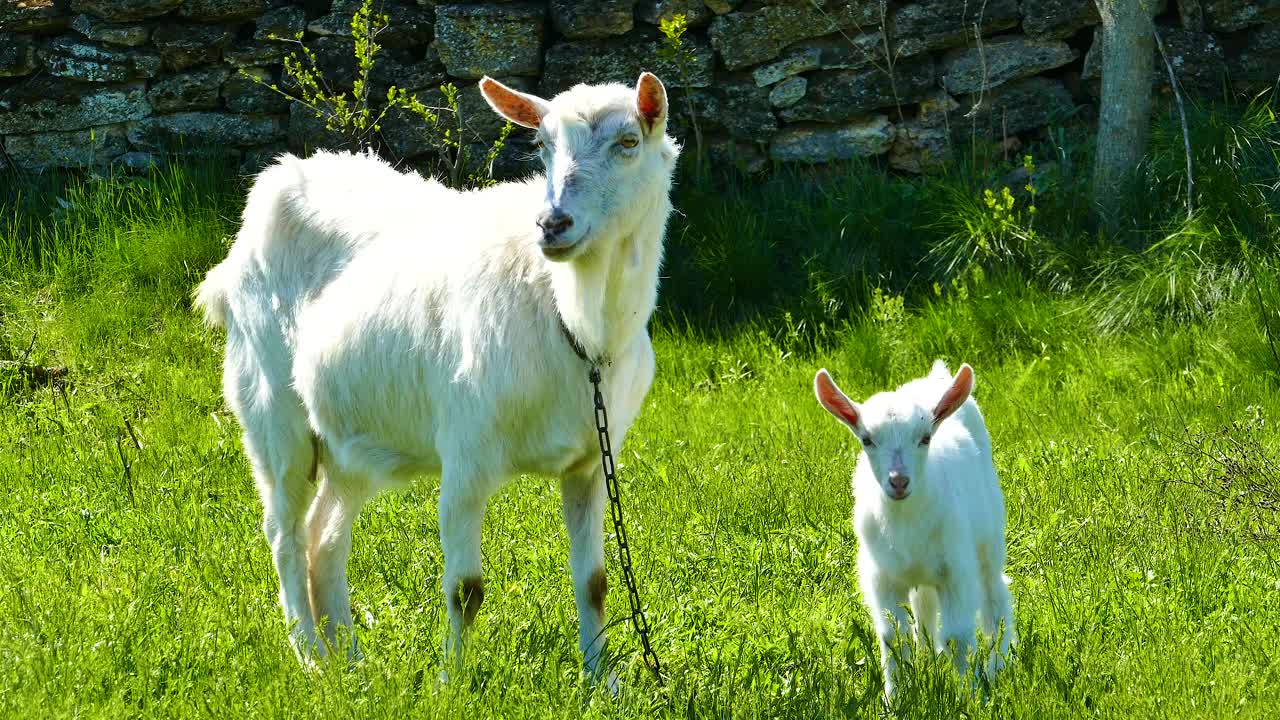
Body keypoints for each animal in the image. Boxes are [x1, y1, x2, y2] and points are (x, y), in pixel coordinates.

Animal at [192, 71, 680, 681]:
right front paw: (453, 681)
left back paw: (351, 662)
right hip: (272, 410)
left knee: (324, 536)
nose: (552, 224)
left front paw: (601, 681)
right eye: (543, 145)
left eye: (629, 143)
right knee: (284, 533)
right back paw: (311, 657)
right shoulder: (466, 452)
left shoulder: (589, 459)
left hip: (350, 441)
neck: (577, 325)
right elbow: (466, 589)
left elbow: (594, 582)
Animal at [814, 361, 1013, 696]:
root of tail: (936, 376)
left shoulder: (957, 571)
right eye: (867, 439)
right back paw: (930, 655)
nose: (899, 481)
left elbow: (958, 635)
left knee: (994, 597)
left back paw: (999, 662)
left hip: (988, 540)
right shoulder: (882, 578)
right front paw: (894, 697)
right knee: (924, 609)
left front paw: (968, 695)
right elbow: (893, 637)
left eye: (925, 438)